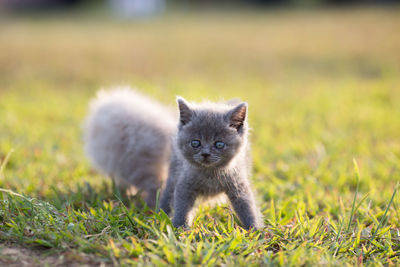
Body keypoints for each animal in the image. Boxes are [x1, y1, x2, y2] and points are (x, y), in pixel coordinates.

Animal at [161, 97, 264, 231]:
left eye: (219, 144)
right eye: (195, 143)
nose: (205, 154)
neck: (211, 173)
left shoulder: (238, 183)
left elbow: (247, 205)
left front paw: (255, 229)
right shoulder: (185, 183)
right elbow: (181, 206)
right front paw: (180, 228)